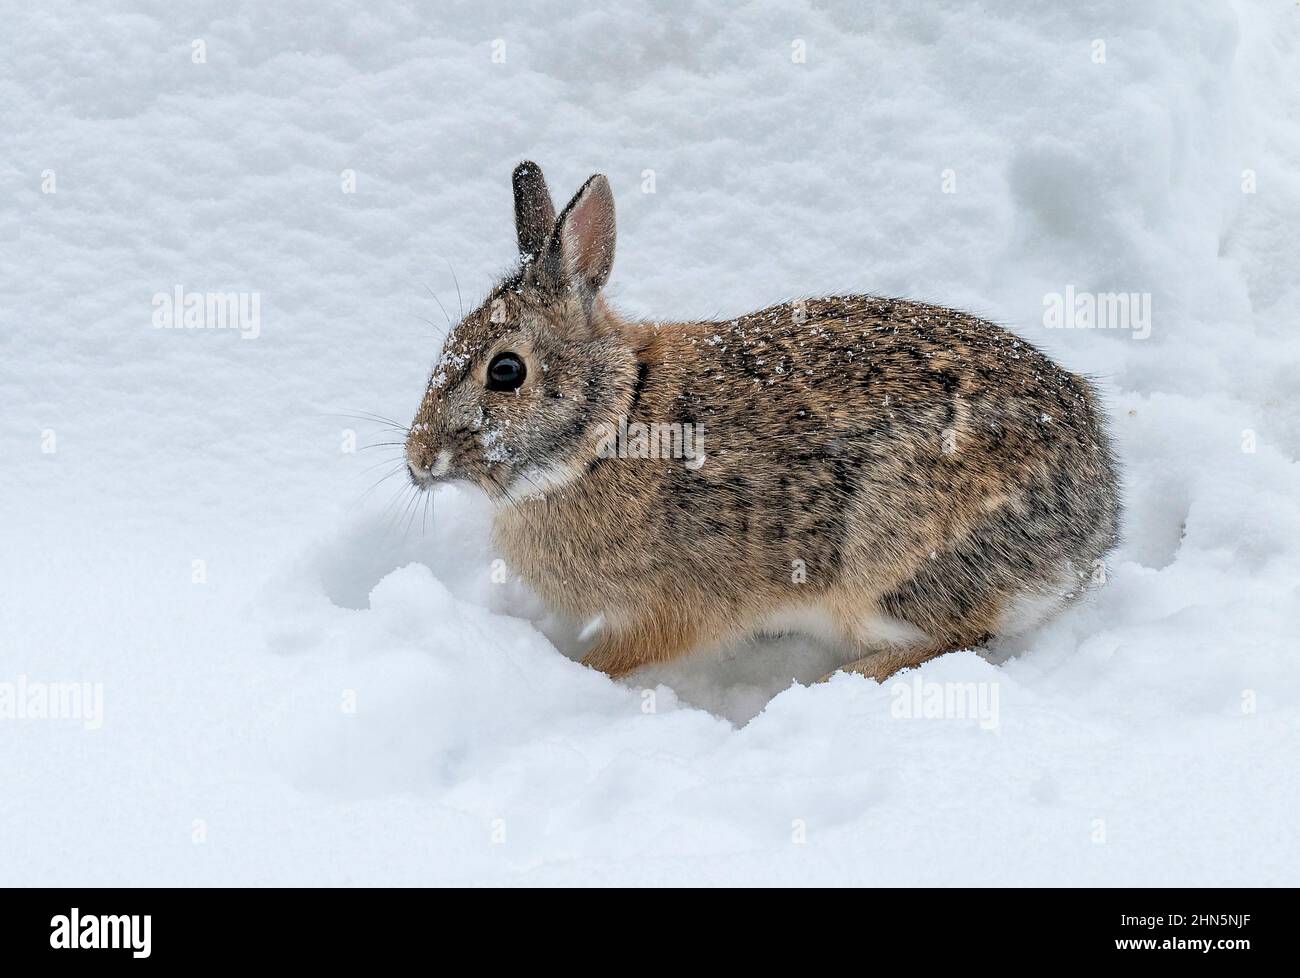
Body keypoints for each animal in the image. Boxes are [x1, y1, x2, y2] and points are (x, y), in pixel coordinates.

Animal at [400, 160, 1123, 681]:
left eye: (505, 371)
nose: (417, 459)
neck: (612, 422)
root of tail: (1092, 529)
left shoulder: (670, 609)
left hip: (884, 564)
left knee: (960, 635)